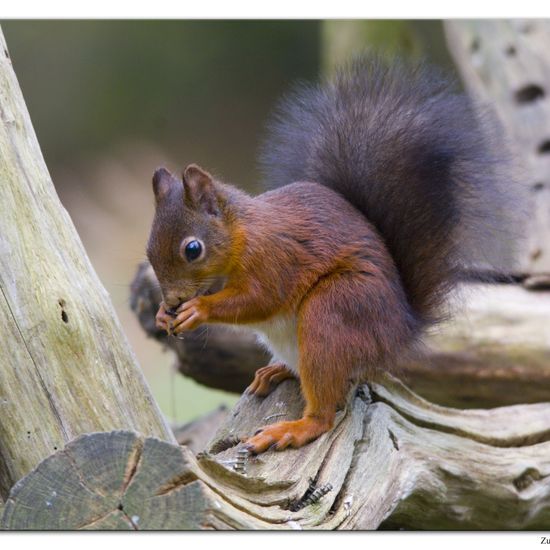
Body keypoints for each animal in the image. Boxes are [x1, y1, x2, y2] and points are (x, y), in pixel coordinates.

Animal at [147, 56, 516, 454]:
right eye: (148, 250)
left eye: (193, 249)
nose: (173, 301)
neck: (240, 236)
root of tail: (399, 332)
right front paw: (163, 314)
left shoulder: (273, 258)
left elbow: (260, 299)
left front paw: (198, 310)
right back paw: (276, 369)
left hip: (334, 312)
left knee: (324, 411)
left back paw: (295, 428)